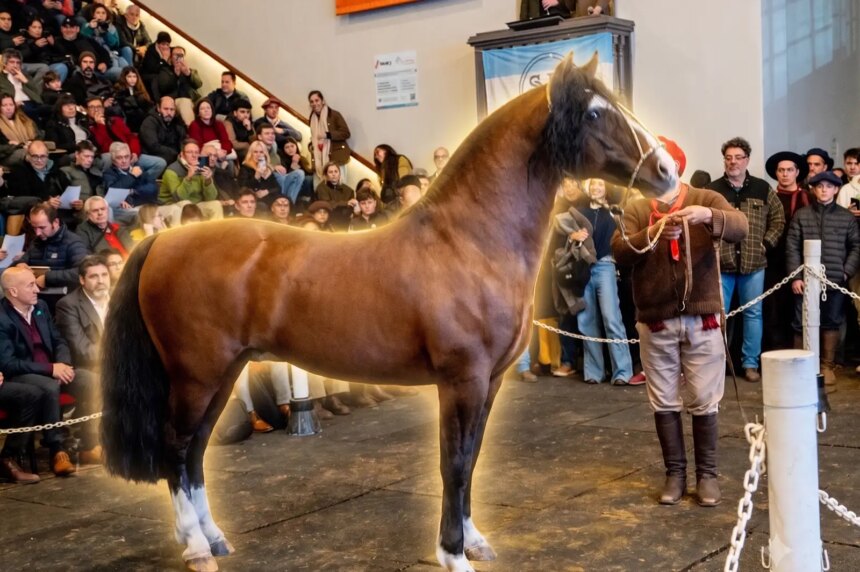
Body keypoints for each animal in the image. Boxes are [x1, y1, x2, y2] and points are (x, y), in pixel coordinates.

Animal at [100, 53, 677, 572]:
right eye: (596, 113)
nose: (669, 169)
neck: (467, 240)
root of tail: (161, 242)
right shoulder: (462, 380)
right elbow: (454, 464)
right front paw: (453, 555)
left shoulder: (489, 381)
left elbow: (472, 460)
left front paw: (474, 541)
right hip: (196, 376)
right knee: (176, 448)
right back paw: (196, 548)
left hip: (223, 373)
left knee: (195, 451)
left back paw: (214, 539)